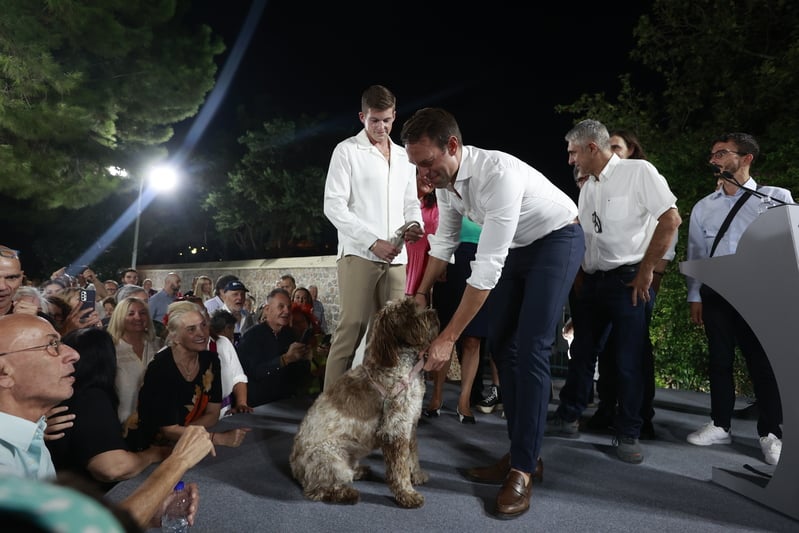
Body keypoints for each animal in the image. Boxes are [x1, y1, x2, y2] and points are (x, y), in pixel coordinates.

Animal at [288, 298, 438, 504]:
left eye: (417, 305)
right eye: (406, 313)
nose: (434, 313)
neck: (403, 365)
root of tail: (294, 468)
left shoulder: (410, 423)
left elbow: (413, 454)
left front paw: (417, 475)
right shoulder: (394, 429)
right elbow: (399, 468)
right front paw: (407, 494)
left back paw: (359, 471)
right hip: (329, 457)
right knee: (316, 490)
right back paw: (347, 493)